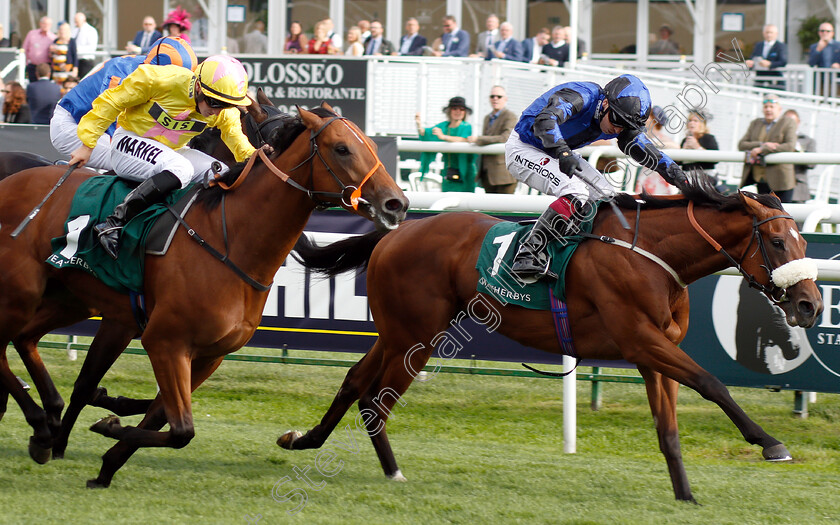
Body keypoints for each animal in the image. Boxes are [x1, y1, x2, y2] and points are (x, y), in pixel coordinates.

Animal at [0, 100, 410, 486]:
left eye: (372, 145)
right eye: (342, 149)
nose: (397, 203)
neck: (228, 241)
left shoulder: (209, 353)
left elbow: (162, 415)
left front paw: (106, 459)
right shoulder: (161, 340)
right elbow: (179, 428)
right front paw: (102, 427)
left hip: (66, 299)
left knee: (24, 339)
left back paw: (47, 421)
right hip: (21, 295)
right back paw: (42, 424)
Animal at [278, 178, 824, 502]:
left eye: (802, 240)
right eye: (778, 242)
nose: (811, 305)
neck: (652, 255)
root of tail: (394, 235)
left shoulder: (654, 352)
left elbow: (668, 430)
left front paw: (685, 495)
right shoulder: (641, 341)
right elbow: (712, 383)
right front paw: (771, 443)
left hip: (398, 333)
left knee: (355, 382)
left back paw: (303, 439)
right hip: (416, 336)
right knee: (377, 399)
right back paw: (391, 470)